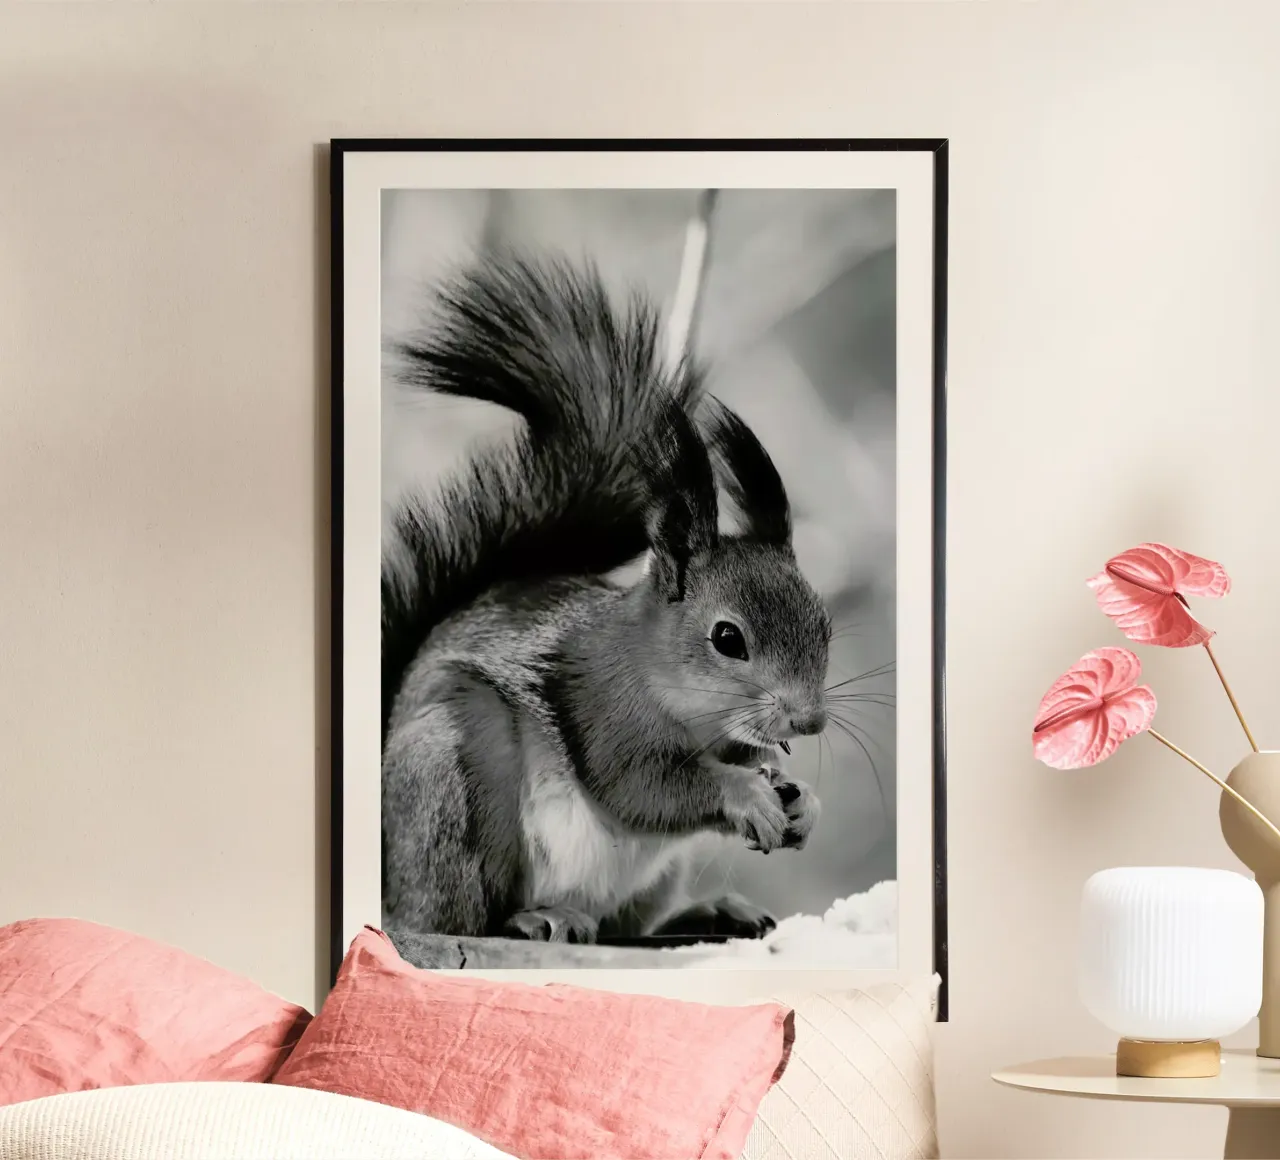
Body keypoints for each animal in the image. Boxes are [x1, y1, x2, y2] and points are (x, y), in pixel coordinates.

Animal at [381, 254, 832, 945]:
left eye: (824, 625)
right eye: (728, 638)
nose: (807, 721)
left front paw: (801, 799)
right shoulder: (603, 706)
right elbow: (643, 786)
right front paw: (746, 795)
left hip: (653, 880)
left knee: (633, 927)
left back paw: (710, 911)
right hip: (451, 777)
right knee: (462, 918)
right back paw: (535, 917)